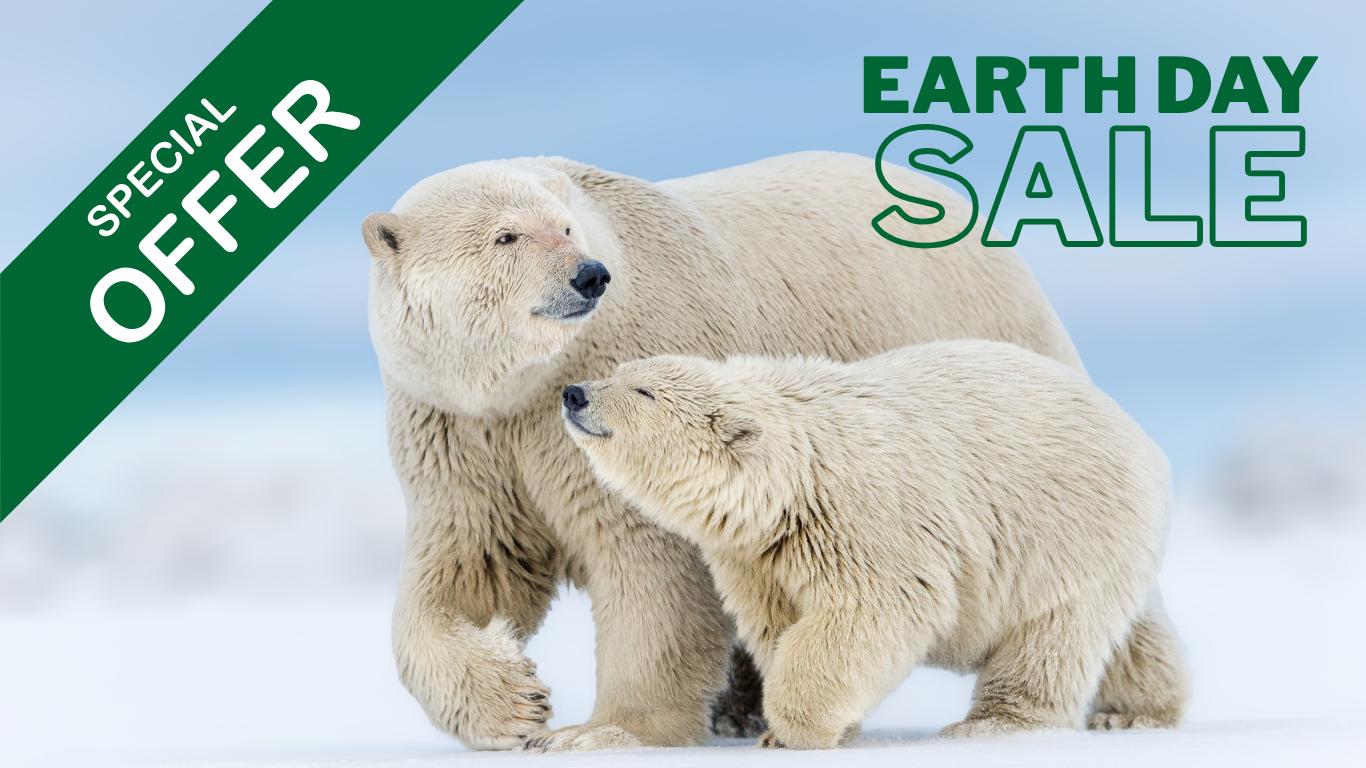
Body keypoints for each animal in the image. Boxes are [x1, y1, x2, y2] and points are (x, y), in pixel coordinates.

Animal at [361, 151, 1119, 752]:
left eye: (567, 227)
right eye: (506, 234)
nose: (587, 276)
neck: (526, 384)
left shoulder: (617, 385)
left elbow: (651, 565)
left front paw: (603, 730)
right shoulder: (460, 433)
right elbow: (469, 570)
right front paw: (514, 702)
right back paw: (741, 709)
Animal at [563, 343, 1189, 749]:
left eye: (643, 391)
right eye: (620, 369)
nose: (574, 393)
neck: (795, 474)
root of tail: (1145, 440)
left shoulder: (865, 513)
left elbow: (871, 611)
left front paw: (795, 729)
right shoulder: (757, 554)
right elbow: (776, 624)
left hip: (1067, 529)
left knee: (1051, 634)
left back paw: (992, 723)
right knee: (1131, 635)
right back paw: (1134, 713)